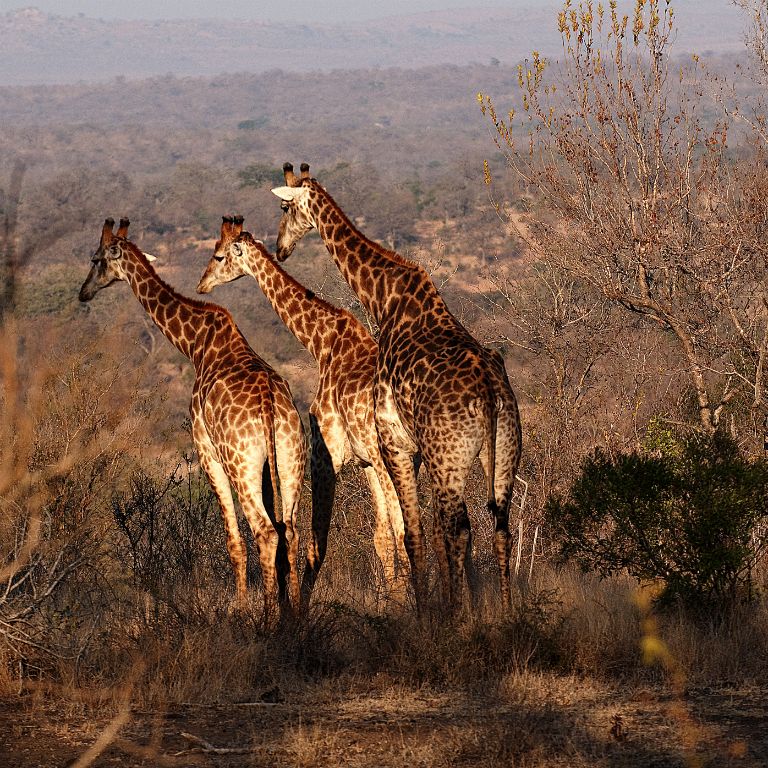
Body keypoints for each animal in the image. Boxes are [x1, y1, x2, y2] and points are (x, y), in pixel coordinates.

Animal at [78, 214, 306, 616]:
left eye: (96, 259)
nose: (82, 293)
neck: (194, 343)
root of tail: (268, 404)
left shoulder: (206, 450)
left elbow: (233, 540)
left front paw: (239, 608)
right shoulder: (264, 464)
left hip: (240, 462)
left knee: (264, 531)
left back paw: (268, 619)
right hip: (290, 454)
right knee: (289, 529)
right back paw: (294, 614)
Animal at [198, 216, 412, 608]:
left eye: (219, 256)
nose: (201, 284)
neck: (322, 343)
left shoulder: (328, 456)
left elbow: (318, 542)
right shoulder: (365, 462)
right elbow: (381, 535)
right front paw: (392, 599)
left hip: (391, 456)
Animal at [270, 164, 520, 612]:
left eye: (285, 208)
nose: (280, 248)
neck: (384, 298)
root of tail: (492, 396)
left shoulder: (394, 442)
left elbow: (413, 532)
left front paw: (423, 612)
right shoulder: (407, 448)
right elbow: (419, 531)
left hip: (448, 458)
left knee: (458, 527)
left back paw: (459, 614)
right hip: (504, 451)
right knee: (499, 525)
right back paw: (506, 614)